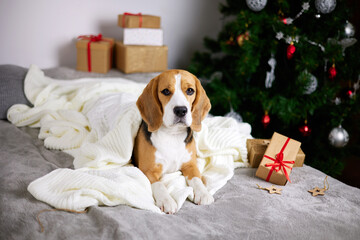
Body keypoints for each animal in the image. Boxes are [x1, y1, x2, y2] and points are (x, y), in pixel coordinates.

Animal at [134, 69, 214, 214]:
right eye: (165, 91)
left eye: (190, 90)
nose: (181, 110)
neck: (172, 135)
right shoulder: (148, 170)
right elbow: (159, 185)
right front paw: (167, 200)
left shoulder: (190, 165)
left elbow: (196, 179)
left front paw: (203, 193)